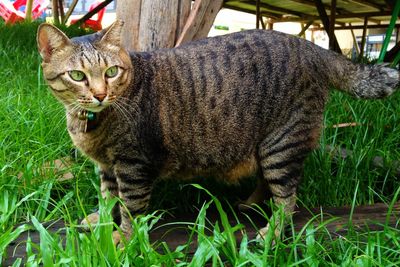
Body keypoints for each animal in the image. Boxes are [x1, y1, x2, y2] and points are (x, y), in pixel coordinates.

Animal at [36, 20, 396, 243]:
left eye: (111, 72)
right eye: (78, 76)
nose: (99, 94)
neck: (90, 122)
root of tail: (309, 45)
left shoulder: (133, 164)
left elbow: (128, 207)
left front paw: (121, 238)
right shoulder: (108, 165)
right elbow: (107, 196)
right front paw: (99, 219)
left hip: (281, 143)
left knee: (287, 199)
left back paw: (271, 233)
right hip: (265, 145)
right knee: (269, 184)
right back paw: (250, 204)